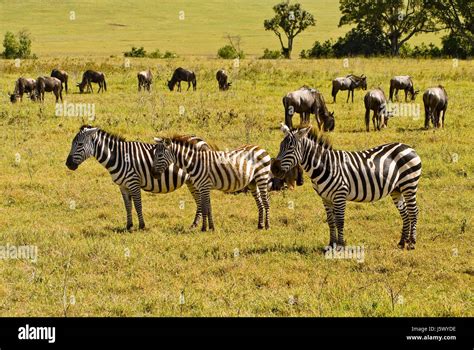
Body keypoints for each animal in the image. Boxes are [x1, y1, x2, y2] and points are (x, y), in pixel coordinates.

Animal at [65, 125, 209, 230]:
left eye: (79, 144)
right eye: (72, 143)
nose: (68, 164)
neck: (118, 157)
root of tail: (201, 140)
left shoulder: (134, 183)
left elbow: (138, 205)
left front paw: (142, 226)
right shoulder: (122, 186)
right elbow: (128, 206)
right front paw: (129, 226)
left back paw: (197, 224)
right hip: (191, 181)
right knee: (199, 199)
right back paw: (195, 224)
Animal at [270, 124, 422, 250]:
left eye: (290, 148)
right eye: (280, 146)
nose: (274, 169)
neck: (325, 165)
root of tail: (408, 147)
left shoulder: (340, 195)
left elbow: (340, 221)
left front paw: (340, 246)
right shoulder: (325, 198)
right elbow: (331, 221)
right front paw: (331, 244)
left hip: (409, 185)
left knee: (413, 212)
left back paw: (412, 243)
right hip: (397, 189)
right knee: (405, 213)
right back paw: (402, 242)